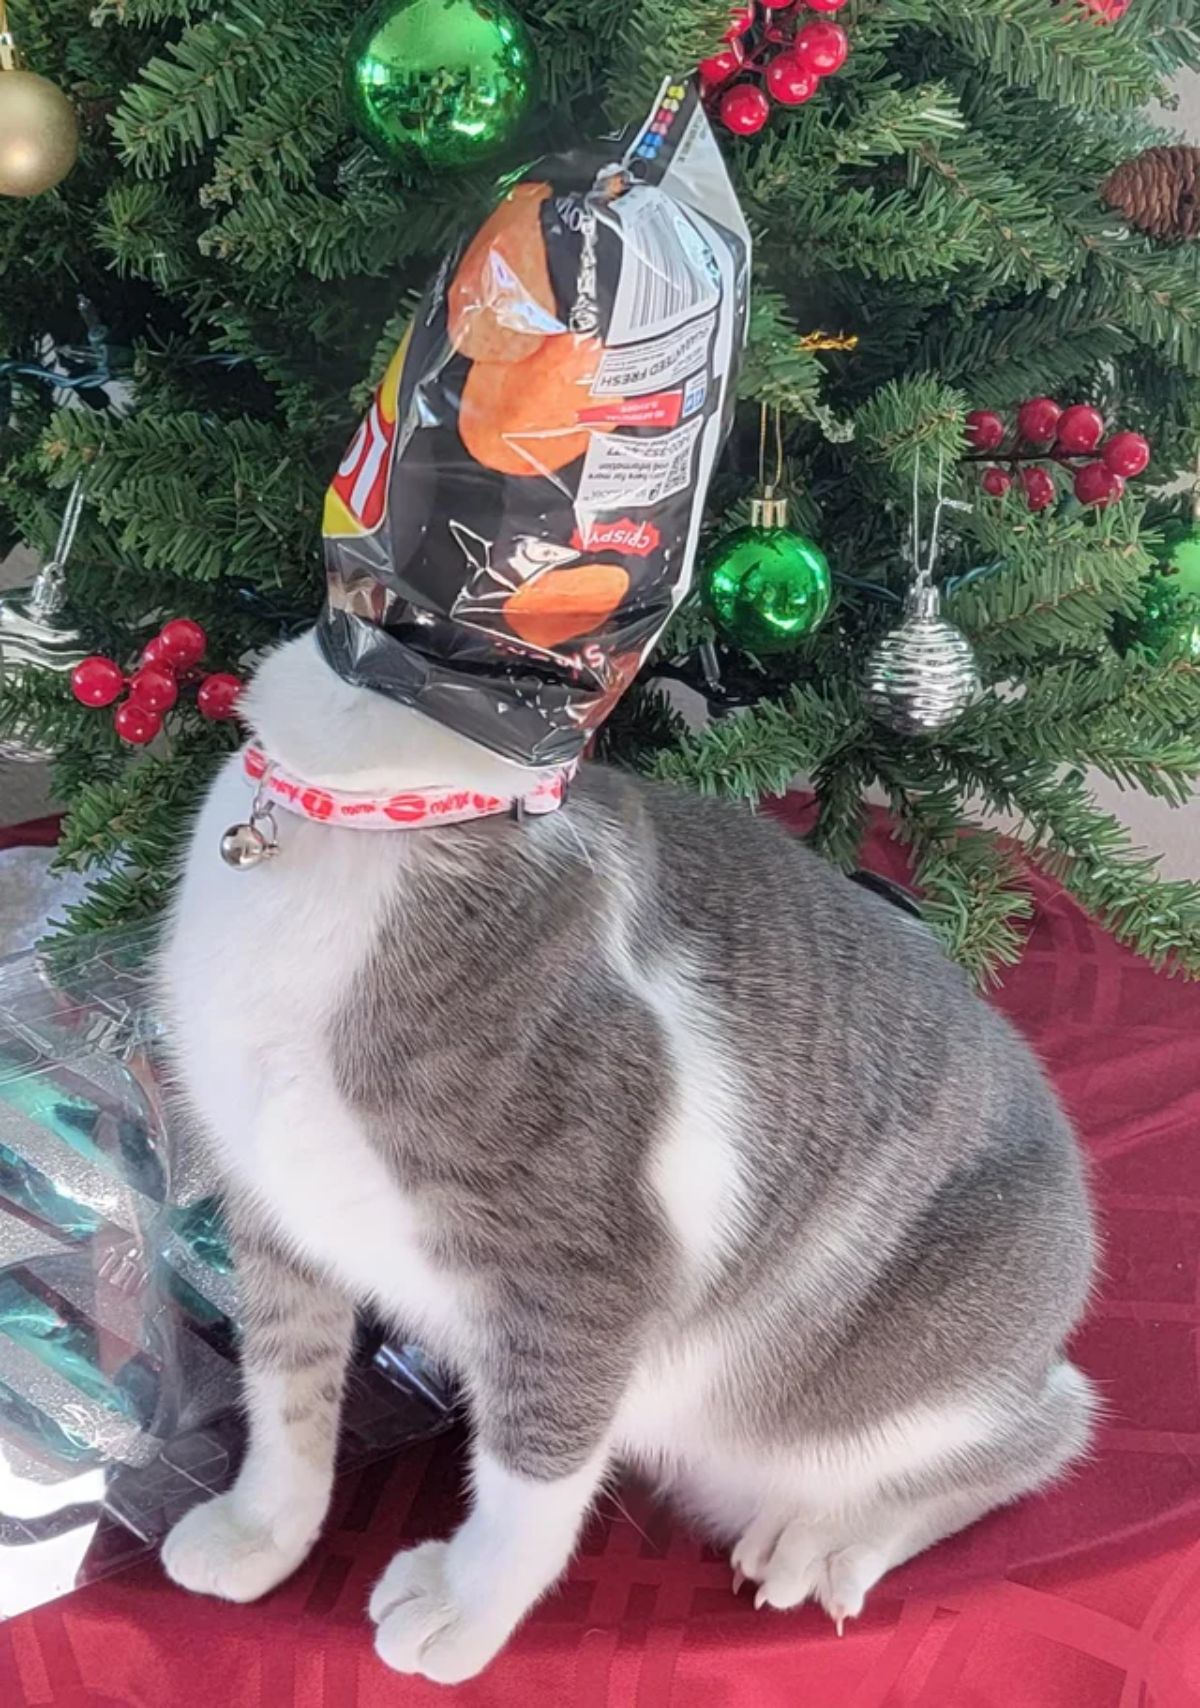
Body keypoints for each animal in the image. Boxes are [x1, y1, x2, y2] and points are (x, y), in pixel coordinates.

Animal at [159, 635, 1099, 1687]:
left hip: (868, 1383)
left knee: (1045, 1428)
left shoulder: (584, 1263)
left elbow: (534, 1464)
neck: (368, 819)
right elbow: (286, 1380)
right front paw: (264, 1528)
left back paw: (833, 1539)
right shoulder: (270, 1203)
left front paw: (471, 1603)